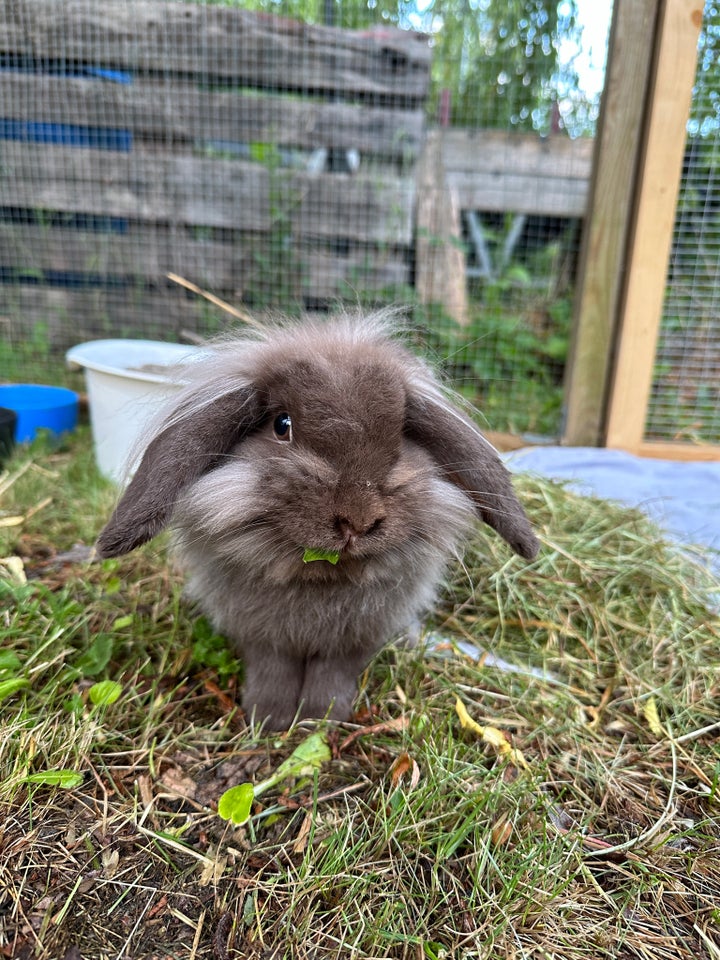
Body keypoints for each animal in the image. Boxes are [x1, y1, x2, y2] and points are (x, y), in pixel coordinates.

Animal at [94, 312, 536, 732]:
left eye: (401, 436)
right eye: (282, 425)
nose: (358, 521)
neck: (321, 579)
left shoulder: (355, 639)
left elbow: (333, 674)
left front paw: (320, 719)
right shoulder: (262, 636)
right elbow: (273, 669)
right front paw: (268, 719)